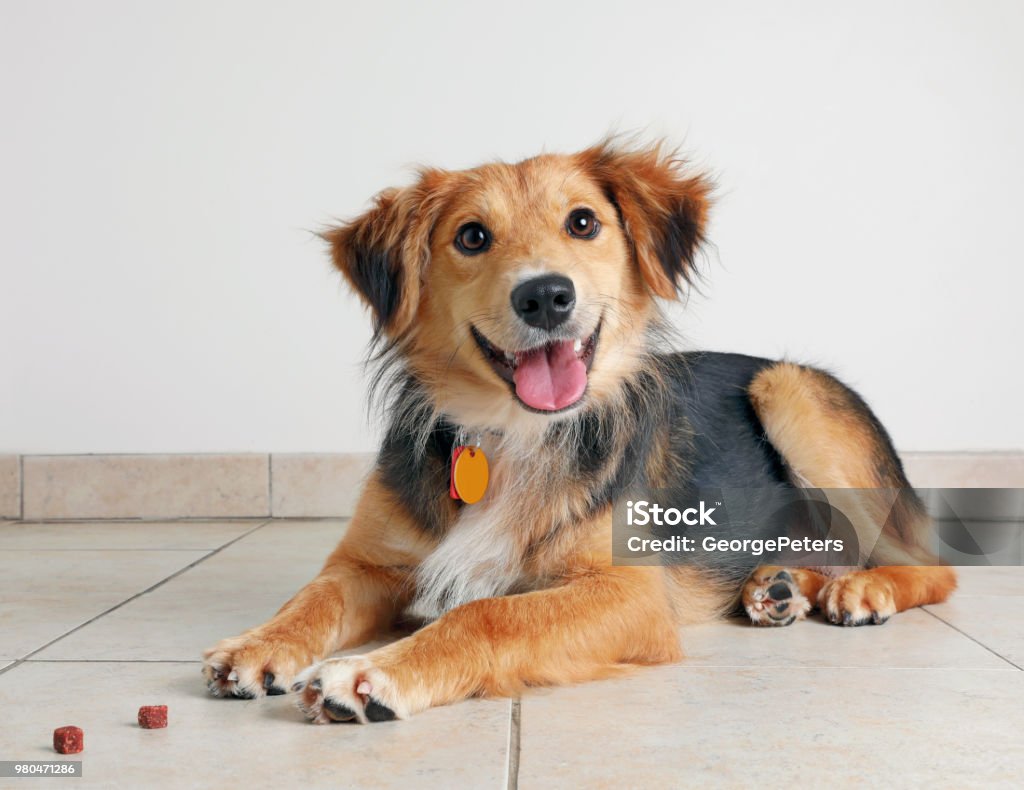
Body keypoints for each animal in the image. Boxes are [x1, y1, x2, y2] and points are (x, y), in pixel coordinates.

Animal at [201, 140, 958, 721]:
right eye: (471, 236)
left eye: (584, 222)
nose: (545, 295)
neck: (513, 434)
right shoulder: (368, 564)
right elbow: (313, 596)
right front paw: (254, 644)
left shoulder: (629, 595)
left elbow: (484, 613)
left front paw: (366, 674)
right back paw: (778, 588)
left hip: (791, 392)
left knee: (933, 565)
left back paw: (859, 591)